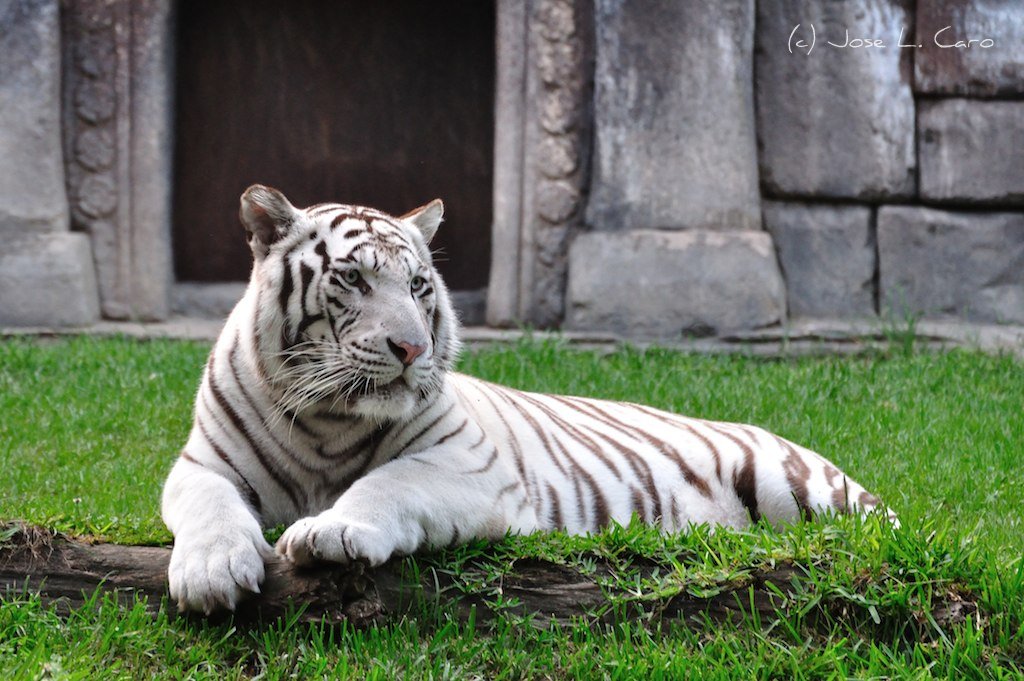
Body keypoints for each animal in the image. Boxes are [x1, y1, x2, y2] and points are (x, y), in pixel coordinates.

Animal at [161, 184, 894, 613]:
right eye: (353, 279)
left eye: (419, 285)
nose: (411, 349)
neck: (328, 418)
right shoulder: (201, 464)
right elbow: (208, 505)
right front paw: (210, 570)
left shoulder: (469, 466)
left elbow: (389, 483)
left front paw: (331, 531)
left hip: (791, 482)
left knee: (880, 527)